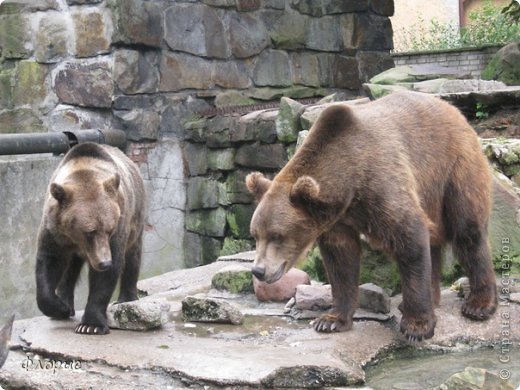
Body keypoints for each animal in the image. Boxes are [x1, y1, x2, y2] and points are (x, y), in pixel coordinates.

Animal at [35, 143, 144, 336]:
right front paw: (60, 308)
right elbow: (49, 262)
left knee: (133, 256)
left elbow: (106, 275)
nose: (104, 262)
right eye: (89, 231)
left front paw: (90, 325)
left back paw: (127, 298)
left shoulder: (118, 227)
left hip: (135, 218)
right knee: (69, 271)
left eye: (109, 230)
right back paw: (66, 302)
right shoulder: (54, 231)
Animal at [248, 91, 500, 342]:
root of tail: (454, 110)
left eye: (277, 235)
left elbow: (410, 239)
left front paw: (417, 326)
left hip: (454, 167)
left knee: (467, 230)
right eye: (255, 235)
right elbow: (341, 261)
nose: (258, 270)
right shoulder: (337, 220)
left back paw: (479, 304)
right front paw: (330, 320)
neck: (349, 183)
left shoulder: (381, 182)